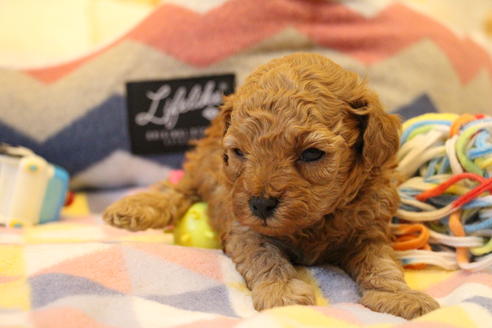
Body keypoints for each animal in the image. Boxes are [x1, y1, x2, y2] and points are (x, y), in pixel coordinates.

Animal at [103, 53, 438, 318]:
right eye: (239, 152)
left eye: (312, 153)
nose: (261, 204)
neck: (316, 221)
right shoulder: (244, 224)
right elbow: (265, 256)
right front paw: (282, 291)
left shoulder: (369, 229)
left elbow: (382, 263)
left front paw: (399, 296)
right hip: (202, 165)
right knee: (179, 188)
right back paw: (132, 209)